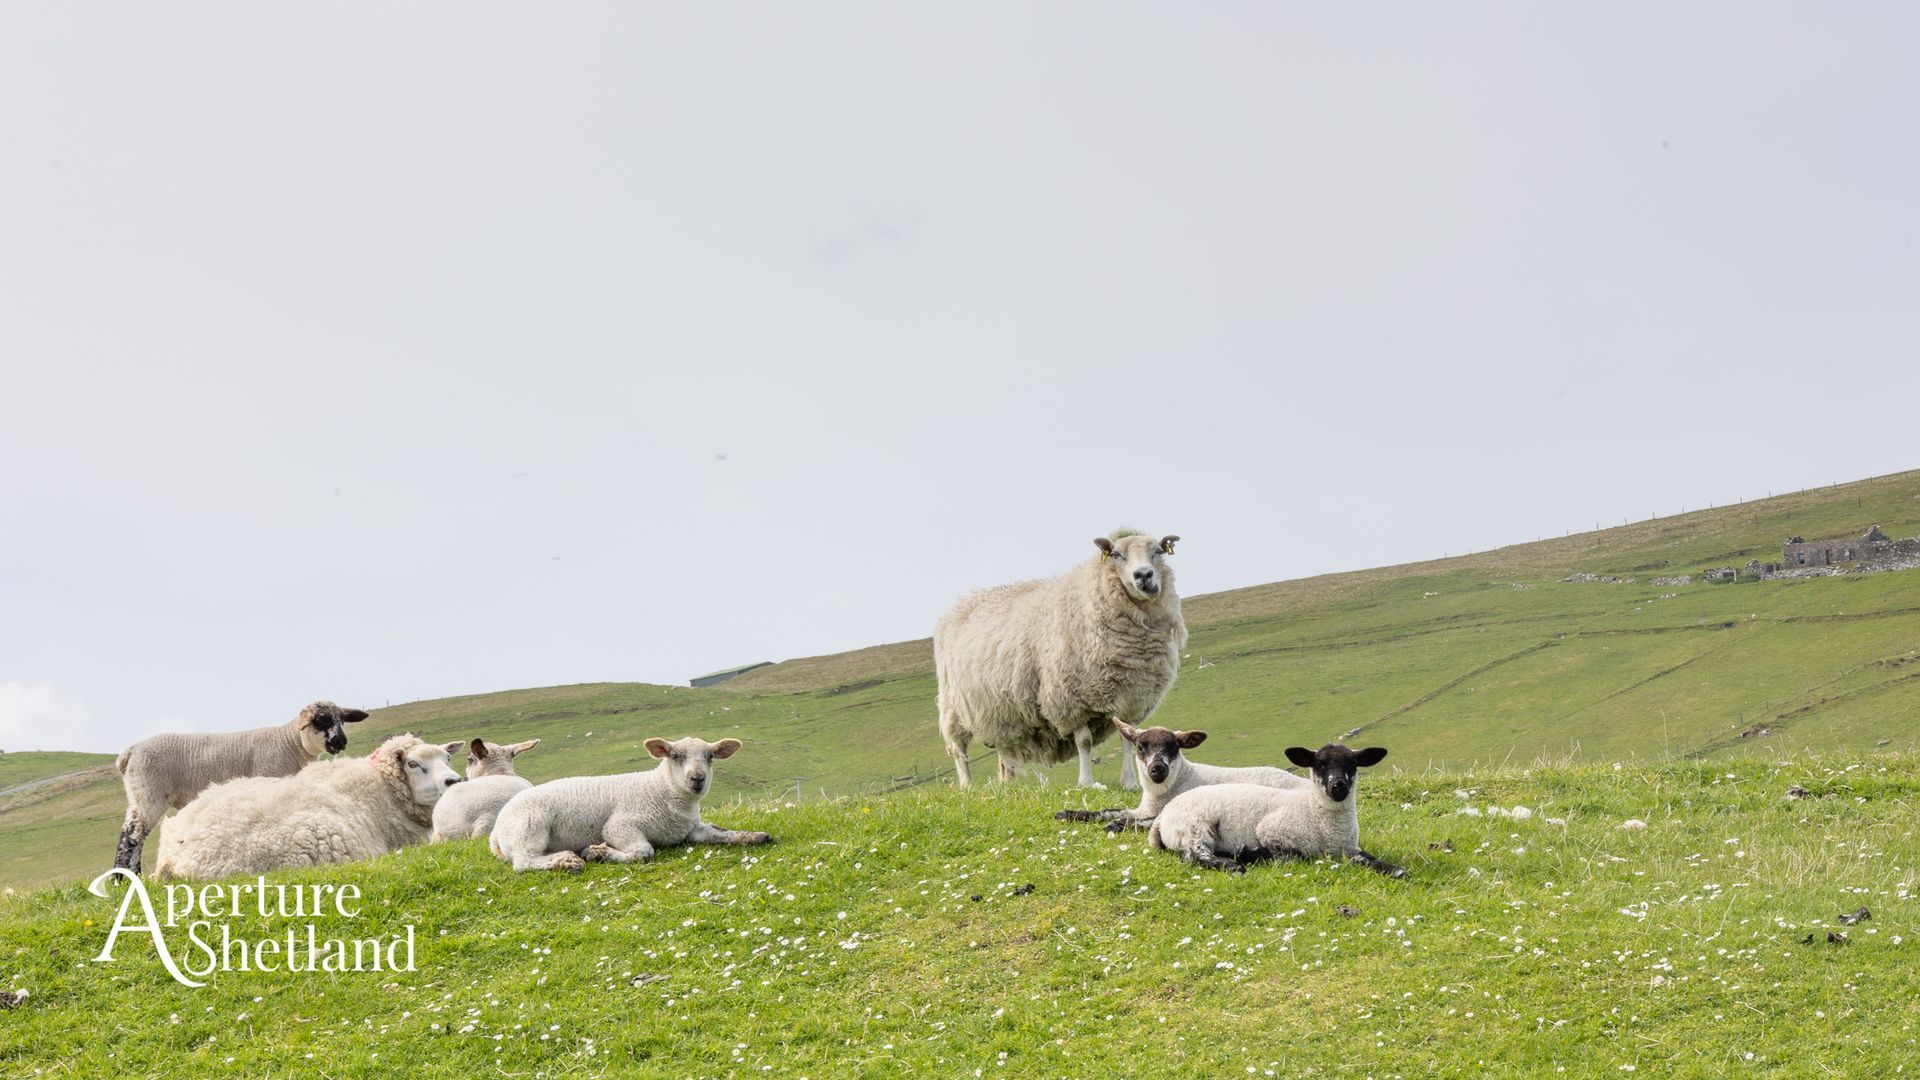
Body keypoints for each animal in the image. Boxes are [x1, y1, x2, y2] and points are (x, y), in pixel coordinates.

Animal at [112, 700, 369, 874]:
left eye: (341, 720)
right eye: (321, 720)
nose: (341, 741)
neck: (289, 743)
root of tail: (129, 752)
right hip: (149, 791)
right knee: (132, 833)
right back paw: (125, 877)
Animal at [489, 736, 768, 872]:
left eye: (710, 756)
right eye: (675, 755)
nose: (697, 778)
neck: (660, 790)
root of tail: (495, 832)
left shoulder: (692, 829)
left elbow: (721, 833)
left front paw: (754, 835)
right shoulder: (618, 826)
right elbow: (643, 852)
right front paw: (599, 853)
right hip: (529, 826)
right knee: (524, 862)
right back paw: (567, 862)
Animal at [936, 530, 1187, 790]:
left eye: (1158, 551)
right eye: (1116, 555)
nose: (1144, 575)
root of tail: (963, 600)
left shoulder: (1130, 698)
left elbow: (1128, 740)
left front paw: (1129, 783)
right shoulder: (1070, 699)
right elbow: (1084, 742)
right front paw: (1086, 782)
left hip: (998, 710)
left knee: (1003, 747)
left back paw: (1008, 785)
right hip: (952, 705)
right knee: (958, 748)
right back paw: (967, 785)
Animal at [1055, 721, 1310, 831]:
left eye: (1174, 747)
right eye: (1140, 746)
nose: (1157, 769)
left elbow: (1141, 820)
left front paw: (1117, 825)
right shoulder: (1142, 808)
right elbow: (1107, 810)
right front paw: (1069, 813)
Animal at [1147, 744, 1405, 877]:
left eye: (1352, 764)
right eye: (1319, 765)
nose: (1338, 785)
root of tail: (1161, 818)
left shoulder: (1350, 848)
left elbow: (1367, 858)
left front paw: (1395, 869)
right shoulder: (1271, 831)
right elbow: (1291, 855)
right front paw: (1255, 853)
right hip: (1195, 828)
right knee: (1194, 856)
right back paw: (1234, 864)